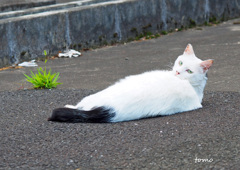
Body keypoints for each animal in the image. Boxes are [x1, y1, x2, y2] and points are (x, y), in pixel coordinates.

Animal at [47, 43, 213, 123]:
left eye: (189, 71)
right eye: (180, 62)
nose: (178, 72)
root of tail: (110, 109)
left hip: (96, 96)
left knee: (80, 107)